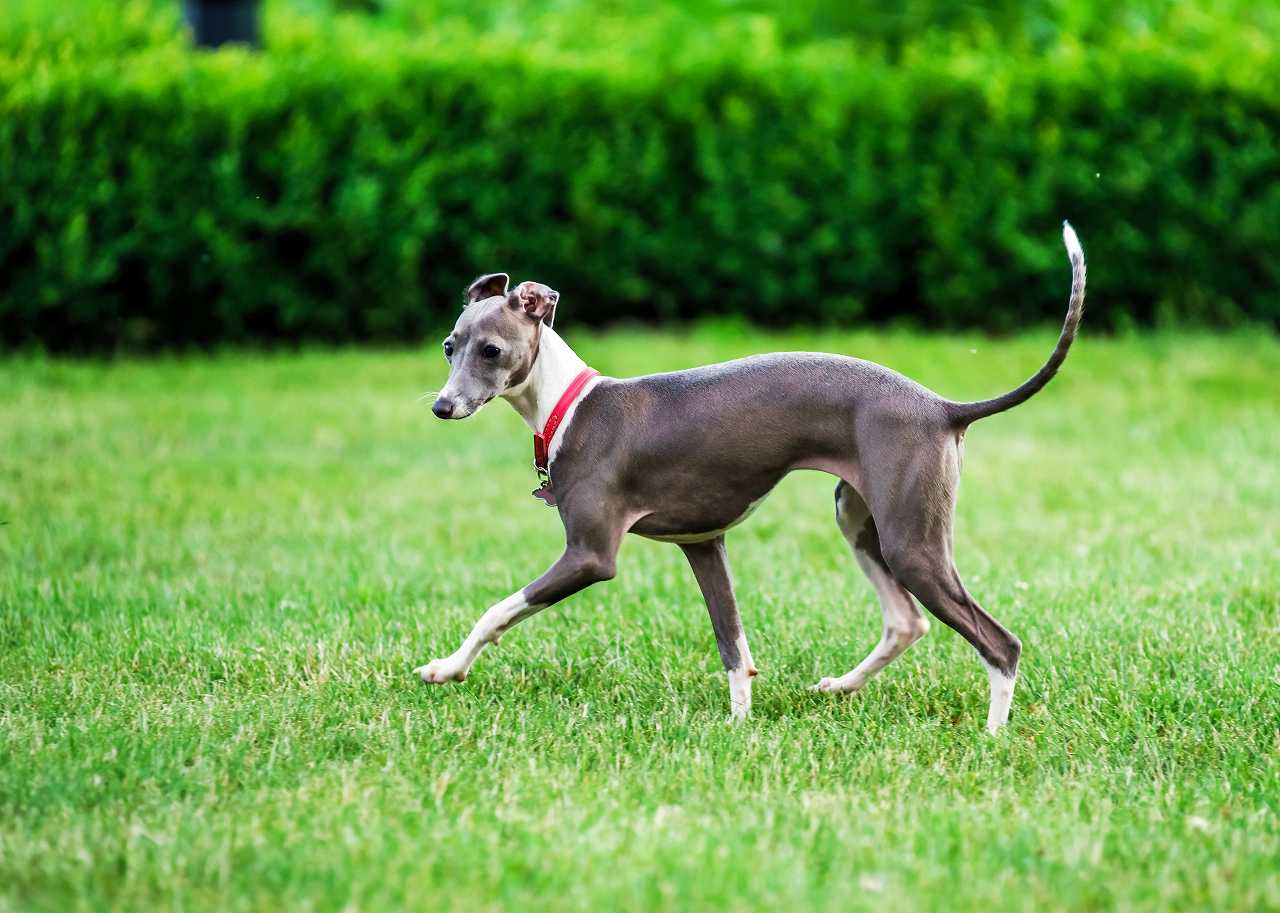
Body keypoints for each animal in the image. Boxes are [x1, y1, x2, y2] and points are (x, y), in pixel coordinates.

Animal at [424, 222, 1085, 732]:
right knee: (906, 620)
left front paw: (447, 667)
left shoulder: (591, 555)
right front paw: (740, 726)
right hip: (859, 519)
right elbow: (733, 647)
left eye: (490, 350)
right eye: (449, 346)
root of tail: (944, 407)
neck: (569, 405)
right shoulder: (702, 543)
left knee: (999, 642)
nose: (441, 407)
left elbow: (497, 610)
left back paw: (994, 735)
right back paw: (842, 686)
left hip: (912, 541)